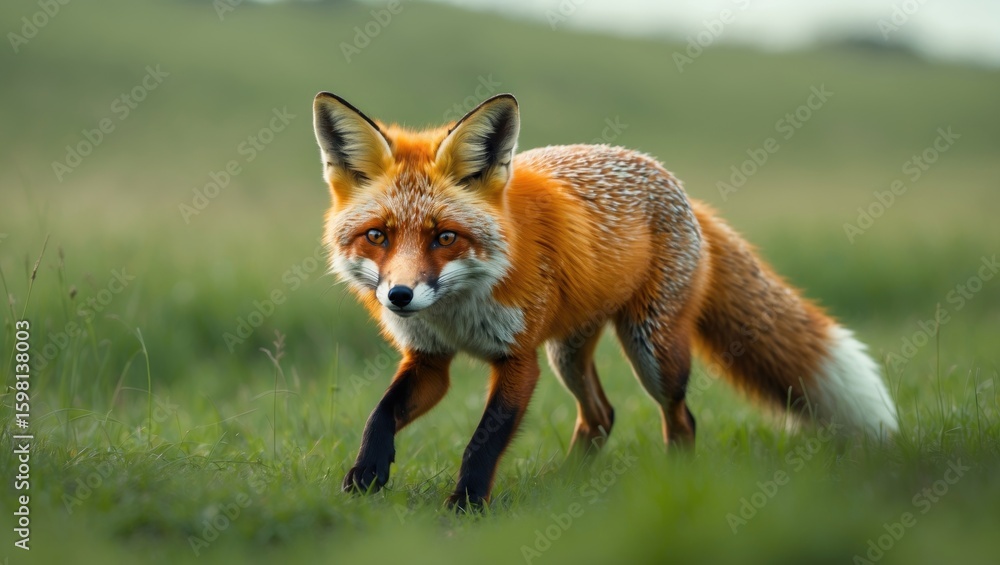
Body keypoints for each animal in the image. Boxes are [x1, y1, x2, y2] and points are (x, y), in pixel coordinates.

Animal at [311, 92, 897, 509]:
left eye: (445, 237)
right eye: (378, 236)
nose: (399, 296)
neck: (458, 310)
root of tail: (682, 190)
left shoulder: (519, 359)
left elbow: (483, 441)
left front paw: (466, 505)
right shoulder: (429, 359)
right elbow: (380, 415)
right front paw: (365, 477)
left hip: (652, 353)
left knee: (681, 419)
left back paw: (676, 484)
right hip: (569, 353)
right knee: (601, 415)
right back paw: (564, 486)